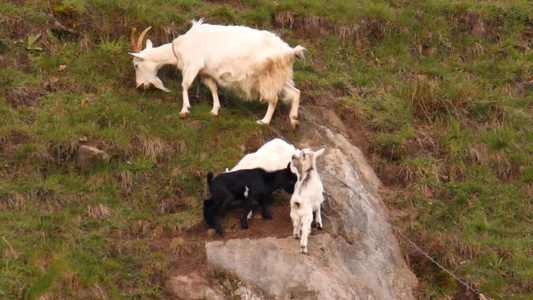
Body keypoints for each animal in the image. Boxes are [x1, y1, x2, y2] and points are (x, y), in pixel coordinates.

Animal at [128, 20, 304, 128]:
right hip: (279, 77)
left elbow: (184, 85)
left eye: (136, 65)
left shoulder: (193, 65)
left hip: (268, 76)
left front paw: (184, 110)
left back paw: (264, 121)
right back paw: (294, 120)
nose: (139, 85)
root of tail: (288, 51)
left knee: (273, 99)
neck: (178, 48)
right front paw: (214, 110)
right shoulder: (206, 73)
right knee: (295, 92)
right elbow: (213, 88)